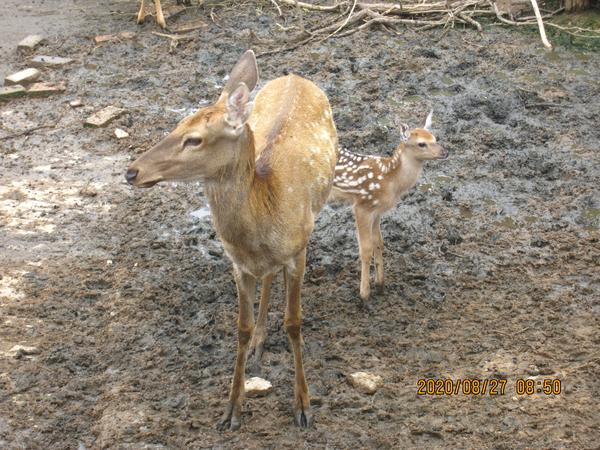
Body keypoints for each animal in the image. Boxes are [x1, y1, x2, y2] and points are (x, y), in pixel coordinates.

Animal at [123, 49, 338, 428]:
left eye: (194, 139)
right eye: (177, 125)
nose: (132, 171)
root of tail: (296, 76)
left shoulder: (298, 251)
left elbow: (294, 323)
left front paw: (303, 406)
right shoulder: (237, 263)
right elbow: (241, 327)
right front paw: (231, 409)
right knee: (268, 277)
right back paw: (260, 342)